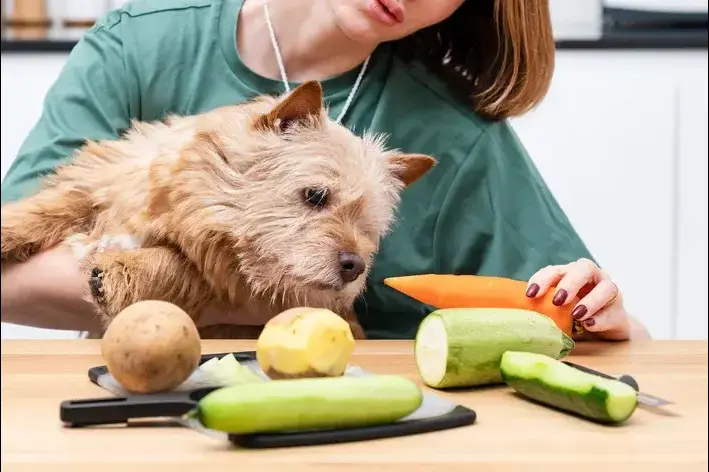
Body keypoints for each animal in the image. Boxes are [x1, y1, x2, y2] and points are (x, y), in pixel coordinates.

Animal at [0, 81, 434, 340]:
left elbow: (178, 266)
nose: (354, 266)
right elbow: (54, 204)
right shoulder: (105, 177)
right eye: (315, 195)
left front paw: (123, 269)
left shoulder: (226, 284)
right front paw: (8, 229)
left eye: (370, 227)